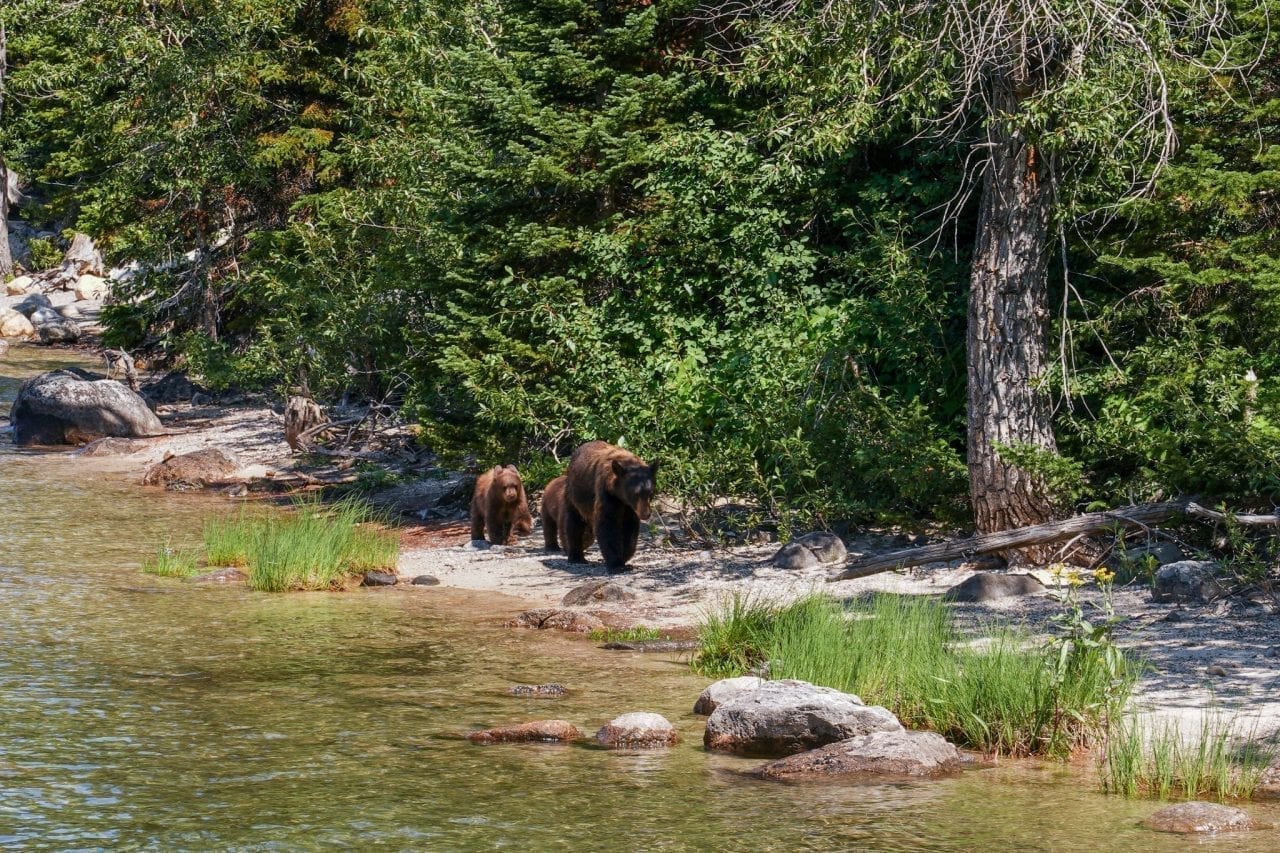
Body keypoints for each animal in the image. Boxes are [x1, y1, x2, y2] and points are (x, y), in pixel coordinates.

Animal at [563, 438, 660, 571]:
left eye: (651, 492)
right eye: (635, 494)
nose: (646, 514)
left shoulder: (629, 507)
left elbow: (629, 527)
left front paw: (624, 558)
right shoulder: (606, 492)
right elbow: (607, 523)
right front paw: (616, 563)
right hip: (573, 493)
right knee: (574, 523)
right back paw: (576, 557)